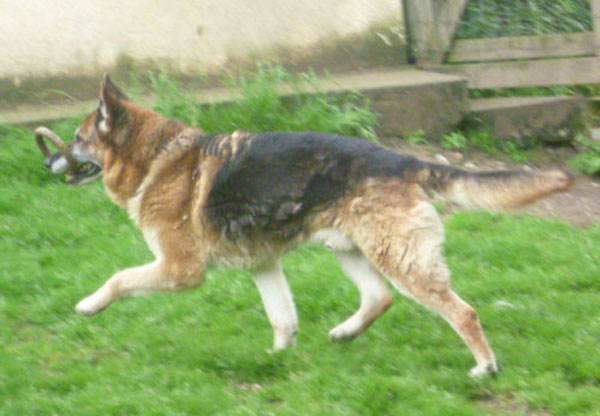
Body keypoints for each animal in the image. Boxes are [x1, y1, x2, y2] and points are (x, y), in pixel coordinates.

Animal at [64, 75, 572, 376]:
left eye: (77, 138)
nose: (53, 162)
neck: (155, 158)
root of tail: (403, 161)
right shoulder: (263, 265)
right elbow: (283, 317)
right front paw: (277, 360)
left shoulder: (179, 269)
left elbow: (119, 278)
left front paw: (89, 305)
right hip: (351, 251)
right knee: (379, 298)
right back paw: (346, 332)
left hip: (401, 262)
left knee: (462, 312)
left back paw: (486, 367)